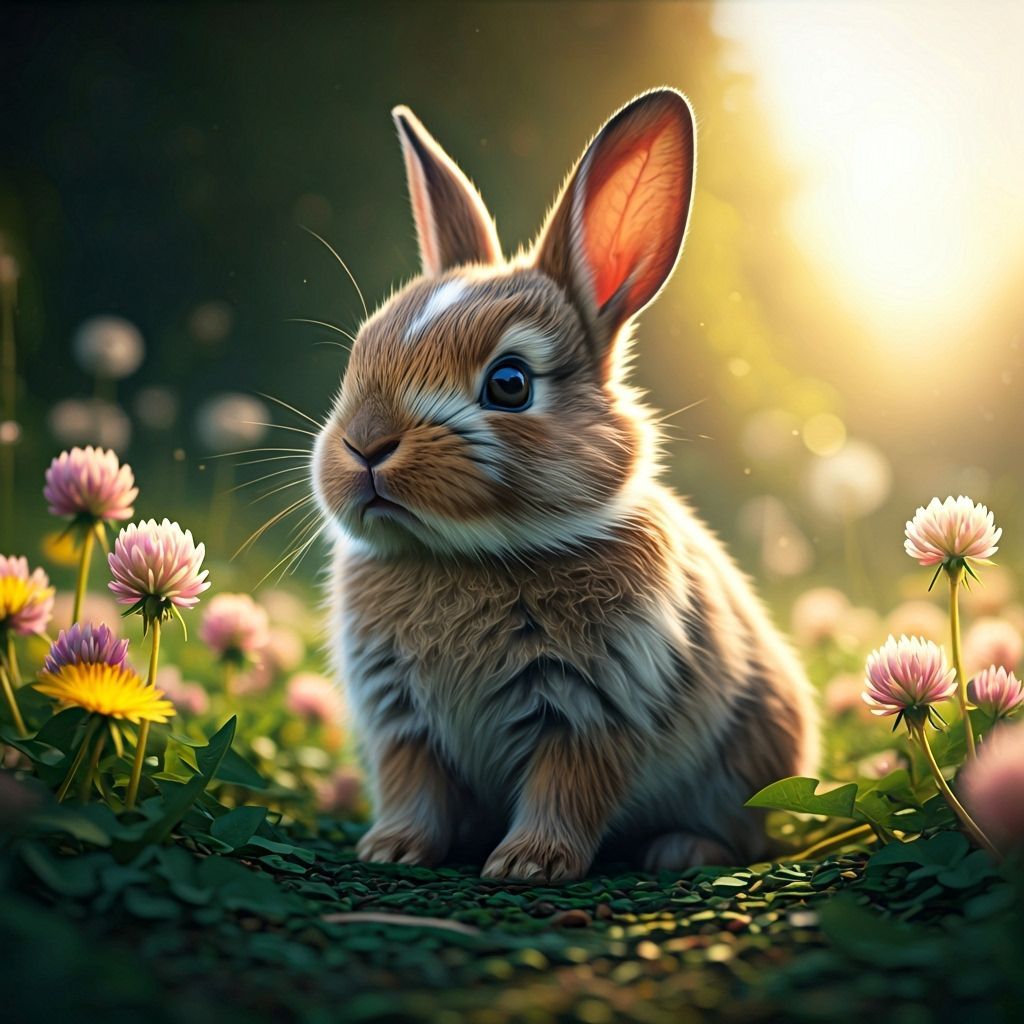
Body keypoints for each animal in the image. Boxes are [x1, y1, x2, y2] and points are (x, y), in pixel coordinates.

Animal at [313, 88, 819, 882]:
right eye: (361, 352)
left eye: (510, 383)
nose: (364, 445)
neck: (466, 556)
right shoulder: (401, 722)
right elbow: (412, 790)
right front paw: (390, 850)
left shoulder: (594, 711)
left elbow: (567, 789)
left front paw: (528, 864)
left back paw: (680, 850)